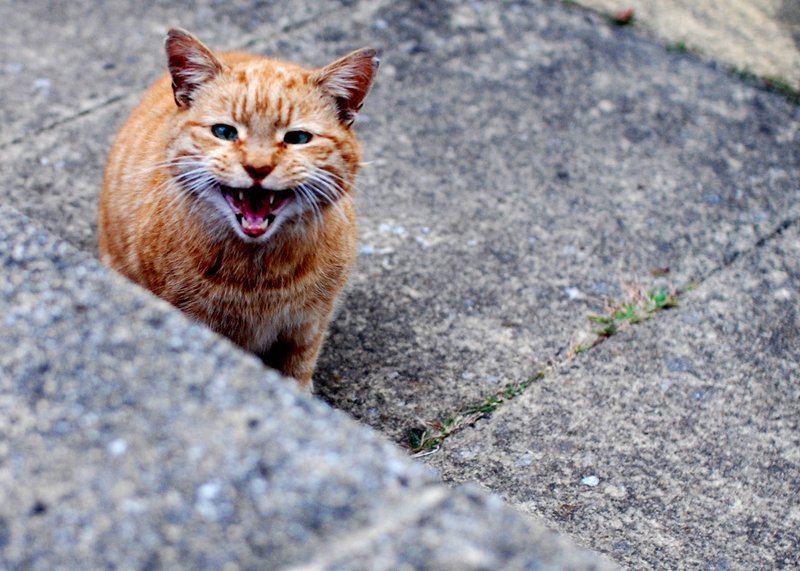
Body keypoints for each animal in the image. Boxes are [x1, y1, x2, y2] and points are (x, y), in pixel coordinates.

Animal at [97, 29, 378, 392]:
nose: (258, 167)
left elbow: (298, 369)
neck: (260, 275)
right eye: (224, 132)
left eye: (298, 138)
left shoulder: (309, 324)